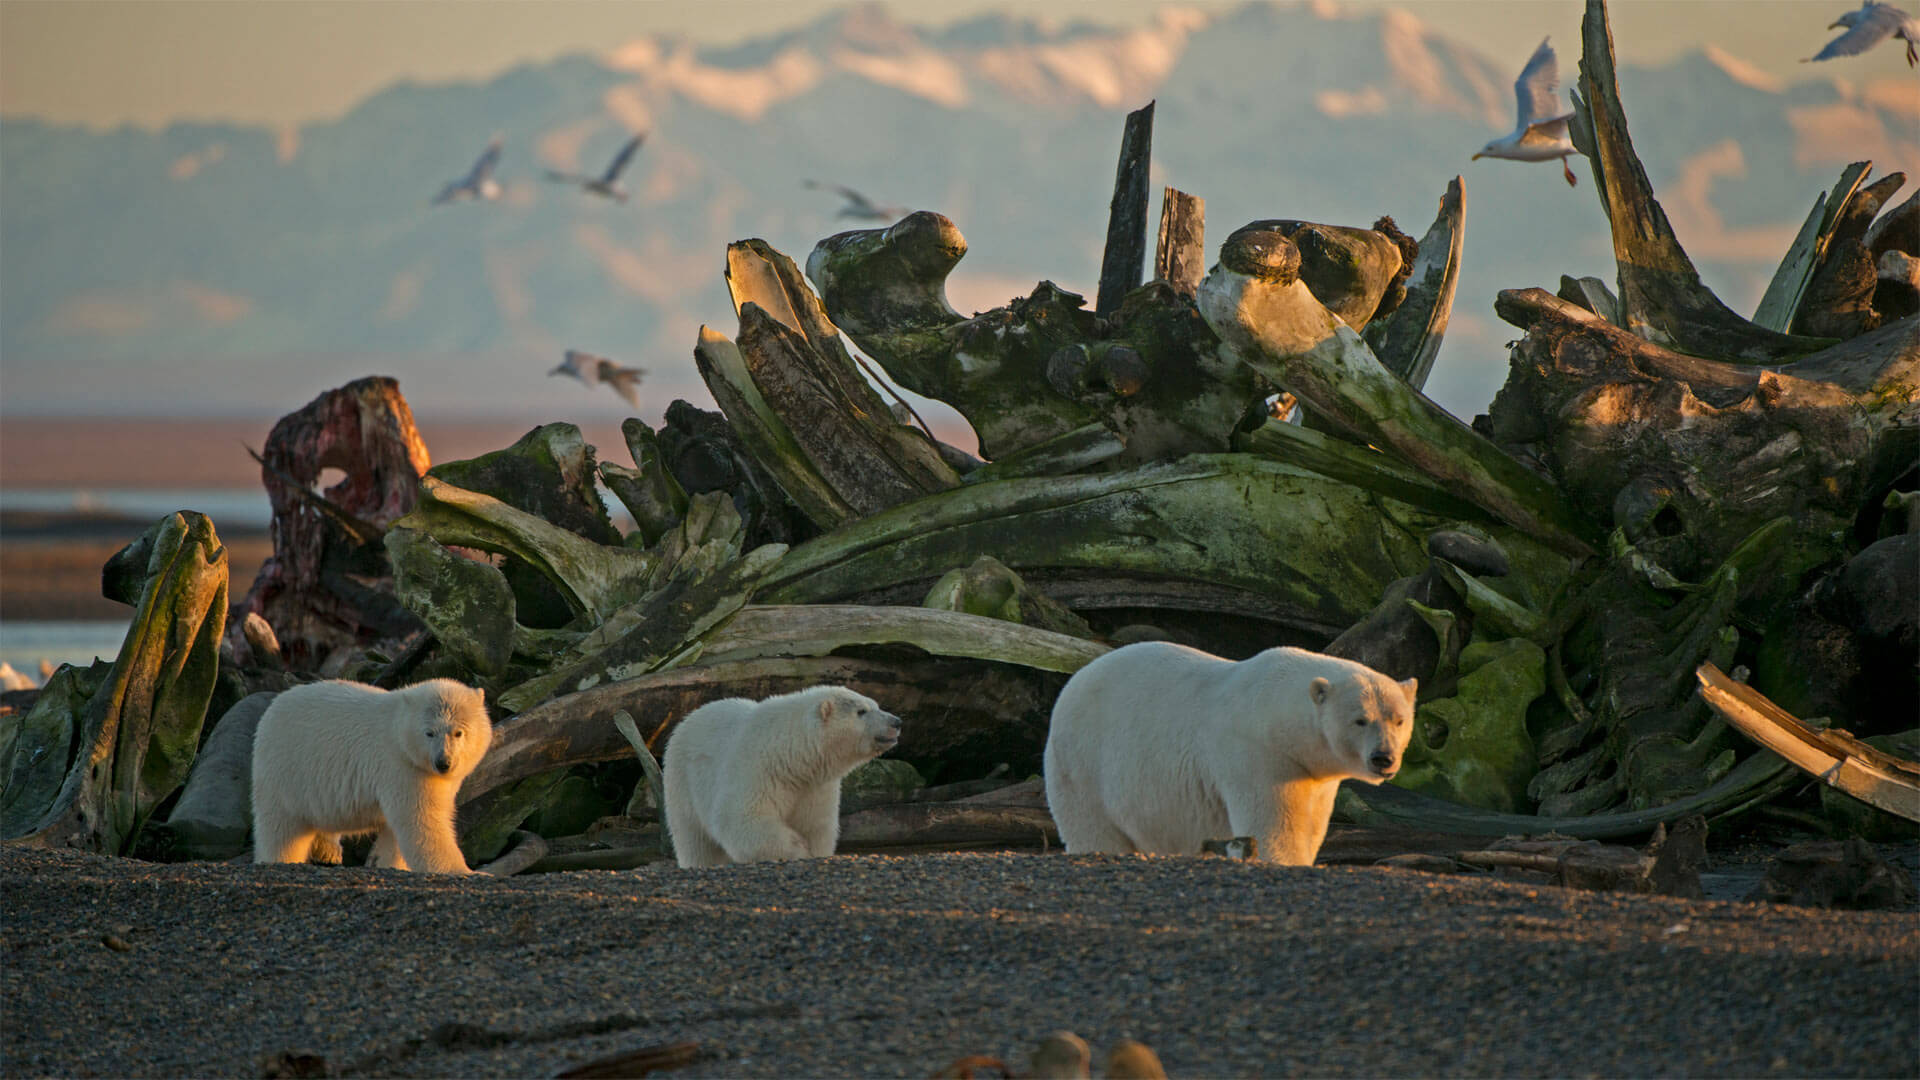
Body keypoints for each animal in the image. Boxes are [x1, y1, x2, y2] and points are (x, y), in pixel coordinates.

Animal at [250, 678, 493, 874]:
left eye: (458, 732)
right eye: (429, 732)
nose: (443, 762)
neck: (399, 732)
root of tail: (269, 712)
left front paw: (388, 863)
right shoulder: (401, 766)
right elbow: (422, 819)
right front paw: (466, 871)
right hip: (286, 771)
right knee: (281, 830)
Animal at [662, 685, 902, 868]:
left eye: (876, 705)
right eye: (861, 711)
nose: (896, 722)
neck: (790, 754)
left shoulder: (815, 785)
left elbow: (816, 824)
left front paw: (813, 850)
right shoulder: (756, 769)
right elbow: (742, 818)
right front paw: (798, 848)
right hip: (682, 782)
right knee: (694, 839)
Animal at [1043, 642, 1416, 866]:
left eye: (1398, 720)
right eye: (1360, 720)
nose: (1383, 758)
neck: (1277, 713)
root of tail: (1074, 680)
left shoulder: (1312, 772)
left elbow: (1311, 823)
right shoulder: (1258, 754)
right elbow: (1273, 825)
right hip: (1083, 760)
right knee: (1093, 826)